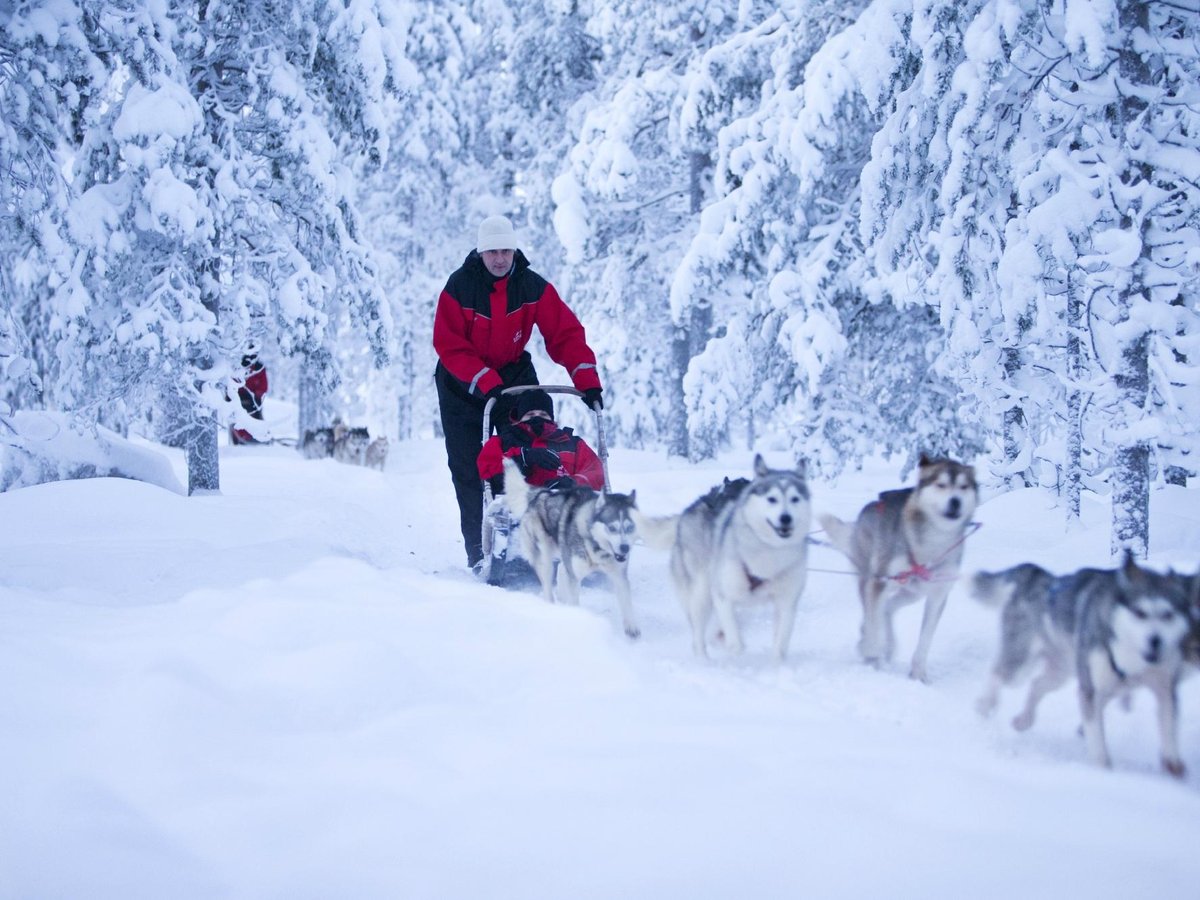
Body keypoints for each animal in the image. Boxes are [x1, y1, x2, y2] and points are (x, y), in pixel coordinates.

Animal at [501, 458, 643, 643]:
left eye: (629, 527)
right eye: (612, 527)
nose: (625, 548)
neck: (597, 547)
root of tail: (541, 493)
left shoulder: (619, 575)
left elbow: (626, 602)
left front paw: (632, 628)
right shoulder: (575, 576)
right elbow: (574, 598)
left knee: (562, 568)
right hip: (545, 558)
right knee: (548, 582)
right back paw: (551, 606)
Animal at [633, 458, 811, 662]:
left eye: (795, 499)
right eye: (771, 499)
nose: (785, 519)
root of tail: (690, 509)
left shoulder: (786, 601)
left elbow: (780, 642)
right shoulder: (722, 592)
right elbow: (731, 630)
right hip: (701, 592)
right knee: (698, 632)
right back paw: (703, 659)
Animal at [820, 453, 979, 681]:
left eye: (964, 486)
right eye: (941, 484)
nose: (955, 501)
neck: (929, 545)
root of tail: (868, 508)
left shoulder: (937, 595)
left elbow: (924, 641)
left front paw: (918, 675)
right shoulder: (879, 582)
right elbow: (873, 627)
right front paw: (871, 654)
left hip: (912, 592)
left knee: (887, 609)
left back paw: (888, 646)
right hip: (872, 579)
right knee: (872, 614)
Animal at [969, 554, 1195, 777]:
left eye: (1168, 614)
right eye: (1140, 613)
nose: (1155, 640)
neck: (1132, 657)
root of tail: (1041, 576)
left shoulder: (1165, 688)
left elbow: (1168, 723)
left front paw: (1172, 762)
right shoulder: (1092, 691)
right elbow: (1097, 740)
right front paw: (1102, 770)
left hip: (1060, 672)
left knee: (1037, 684)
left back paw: (1024, 719)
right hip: (1020, 663)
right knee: (998, 673)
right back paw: (984, 705)